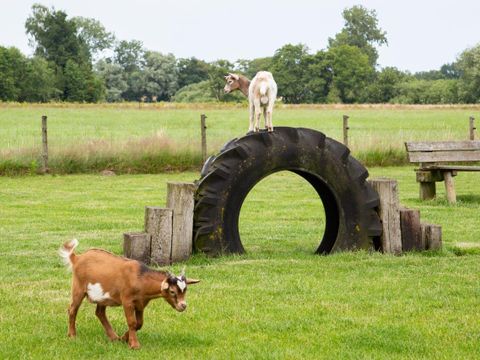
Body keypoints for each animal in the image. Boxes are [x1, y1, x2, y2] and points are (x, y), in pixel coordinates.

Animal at [59, 239, 199, 348]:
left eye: (185, 290)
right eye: (172, 291)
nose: (183, 306)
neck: (140, 278)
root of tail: (77, 258)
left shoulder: (141, 304)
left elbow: (139, 323)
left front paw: (124, 338)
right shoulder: (127, 301)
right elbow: (132, 322)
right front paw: (134, 345)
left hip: (102, 297)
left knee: (100, 313)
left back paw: (114, 337)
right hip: (78, 288)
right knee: (72, 310)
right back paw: (72, 335)